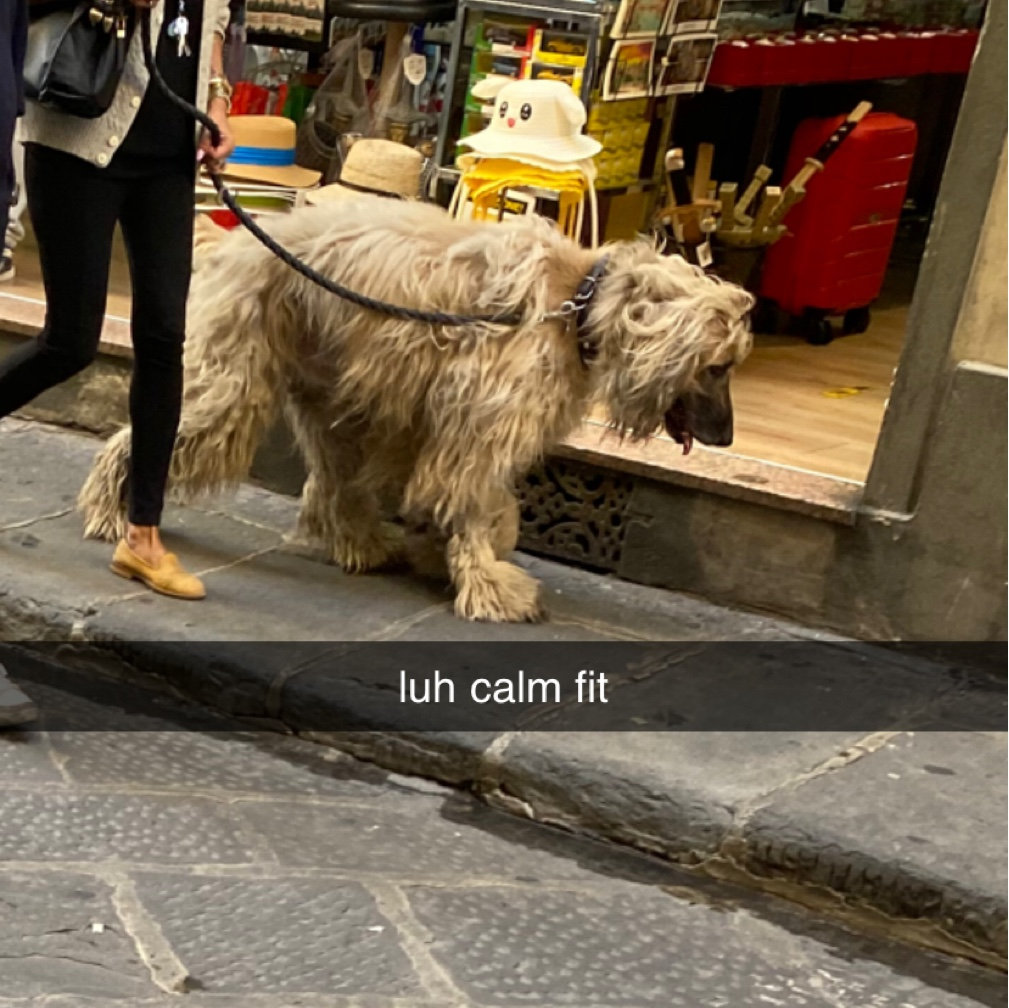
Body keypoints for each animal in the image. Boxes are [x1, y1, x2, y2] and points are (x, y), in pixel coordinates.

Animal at [79, 198, 753, 622]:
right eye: (718, 367)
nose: (725, 440)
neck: (580, 300)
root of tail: (231, 238)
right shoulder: (481, 425)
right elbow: (477, 505)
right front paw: (489, 586)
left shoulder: (431, 420)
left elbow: (461, 502)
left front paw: (443, 555)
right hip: (236, 380)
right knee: (157, 432)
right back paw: (114, 513)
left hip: (336, 387)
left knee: (336, 478)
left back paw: (360, 541)